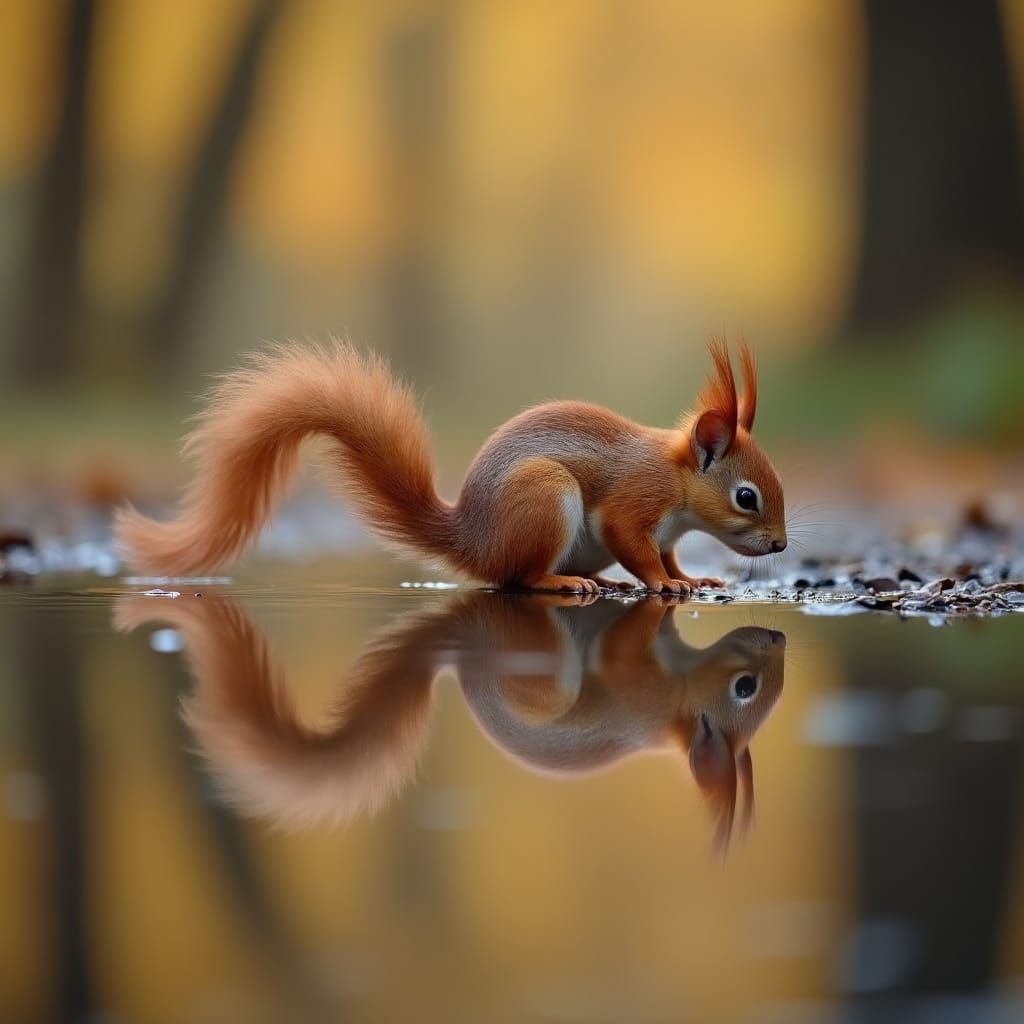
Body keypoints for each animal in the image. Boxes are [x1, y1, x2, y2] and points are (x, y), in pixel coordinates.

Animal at [115, 338, 786, 593]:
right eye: (746, 496)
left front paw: (693, 579)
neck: (676, 479)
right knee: (517, 579)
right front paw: (666, 584)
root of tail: (474, 539)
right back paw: (563, 583)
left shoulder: (667, 530)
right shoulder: (633, 502)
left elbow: (667, 555)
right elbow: (638, 547)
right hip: (544, 499)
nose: (781, 546)